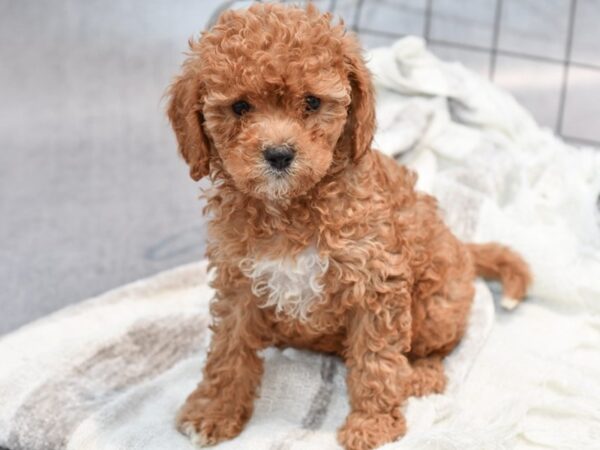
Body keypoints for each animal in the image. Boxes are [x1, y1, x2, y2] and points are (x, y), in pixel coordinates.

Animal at [168, 4, 528, 450]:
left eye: (312, 102)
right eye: (239, 107)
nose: (279, 154)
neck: (290, 209)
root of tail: (461, 243)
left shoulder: (376, 282)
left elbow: (377, 360)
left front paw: (372, 423)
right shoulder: (238, 281)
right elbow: (227, 349)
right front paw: (214, 410)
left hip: (437, 304)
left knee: (436, 347)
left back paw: (420, 375)